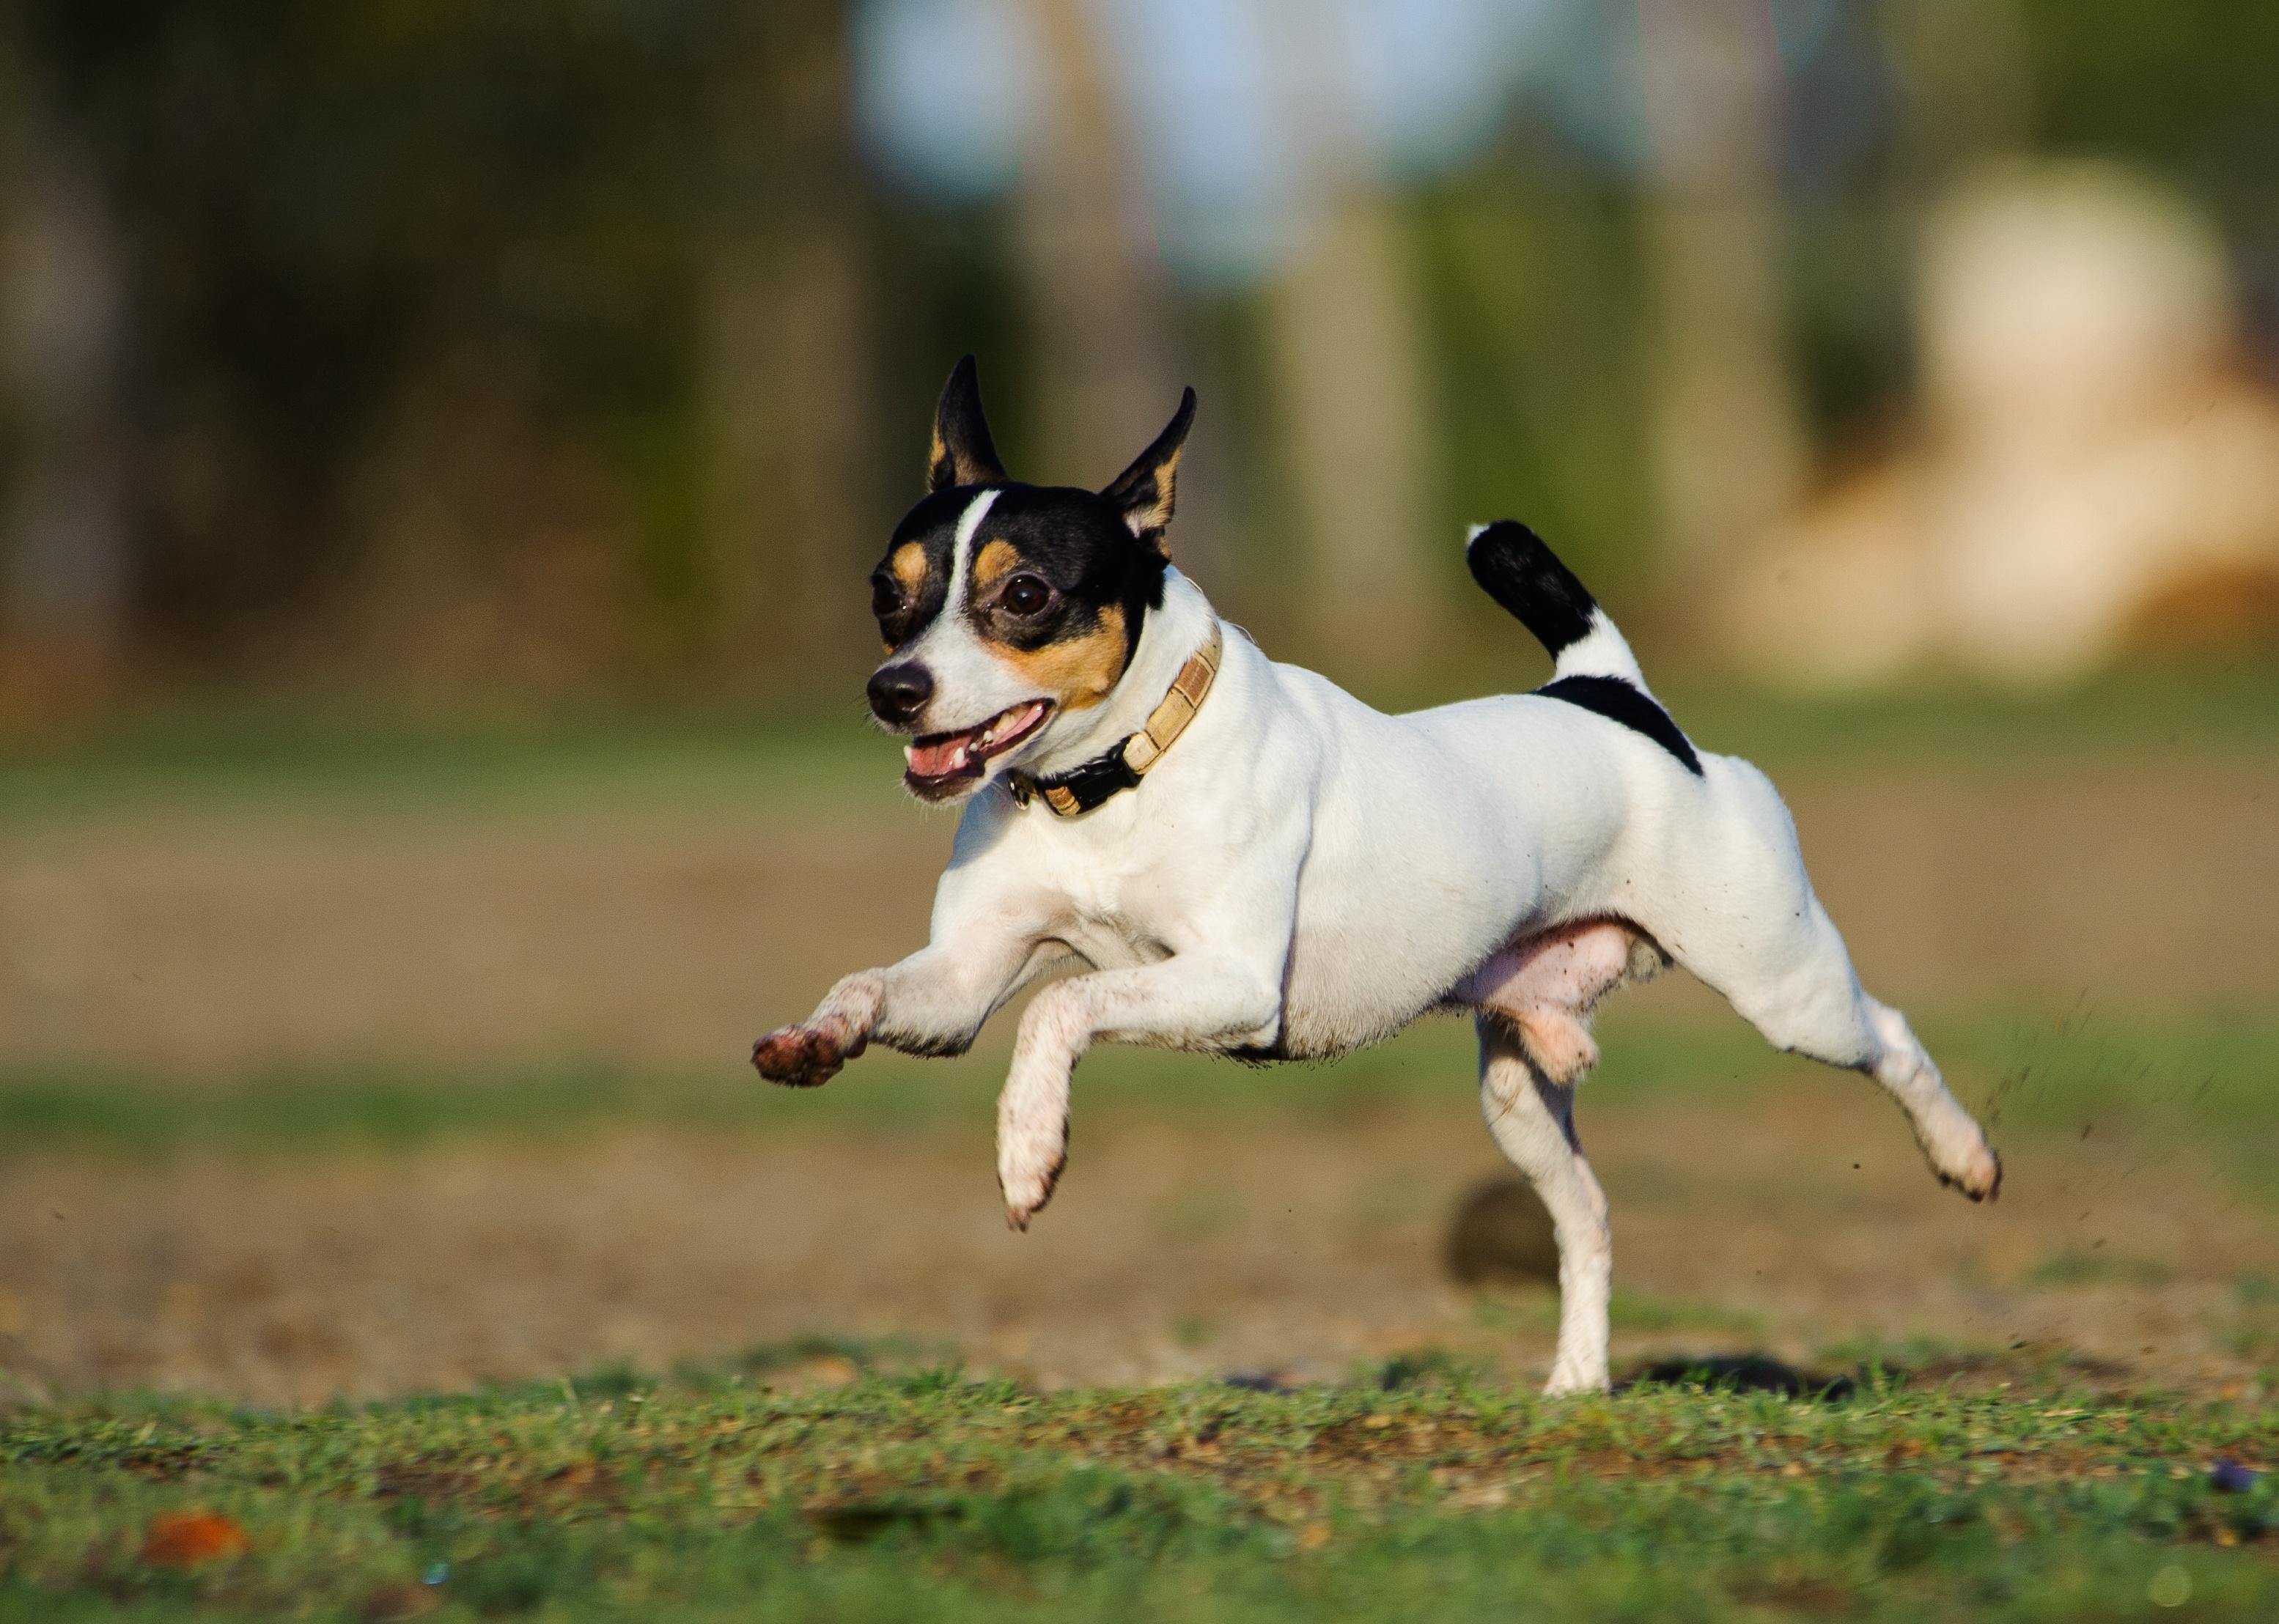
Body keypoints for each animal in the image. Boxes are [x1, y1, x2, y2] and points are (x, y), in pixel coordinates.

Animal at [751, 355, 1996, 1394]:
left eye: (1024, 597)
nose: (893, 691)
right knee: (1587, 1221)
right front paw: (812, 1041)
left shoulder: (1232, 983)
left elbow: (1059, 1009)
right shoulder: (962, 983)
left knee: (1888, 1036)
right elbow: (878, 989)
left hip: (1784, 987)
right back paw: (1576, 1386)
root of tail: (1616, 697)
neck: (1115, 779)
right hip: (1517, 1092)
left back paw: (1965, 1156)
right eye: (886, 593)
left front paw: (1027, 1148)